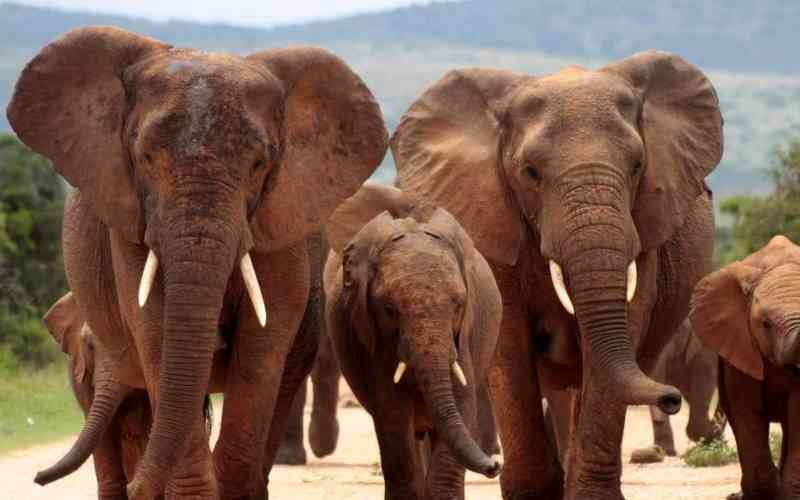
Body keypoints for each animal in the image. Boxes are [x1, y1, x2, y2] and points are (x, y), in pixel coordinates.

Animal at [7, 26, 387, 499]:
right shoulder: (130, 220)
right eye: (145, 157)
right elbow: (155, 333)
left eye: (260, 163)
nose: (38, 480)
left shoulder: (282, 224)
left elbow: (261, 348)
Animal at [324, 182, 503, 499]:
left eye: (459, 305)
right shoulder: (371, 336)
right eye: (389, 310)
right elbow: (392, 414)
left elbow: (462, 401)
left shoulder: (465, 337)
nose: (495, 465)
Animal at [392, 51, 723, 499]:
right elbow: (509, 343)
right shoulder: (492, 219)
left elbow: (619, 332)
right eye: (530, 172)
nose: (671, 397)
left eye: (638, 165)